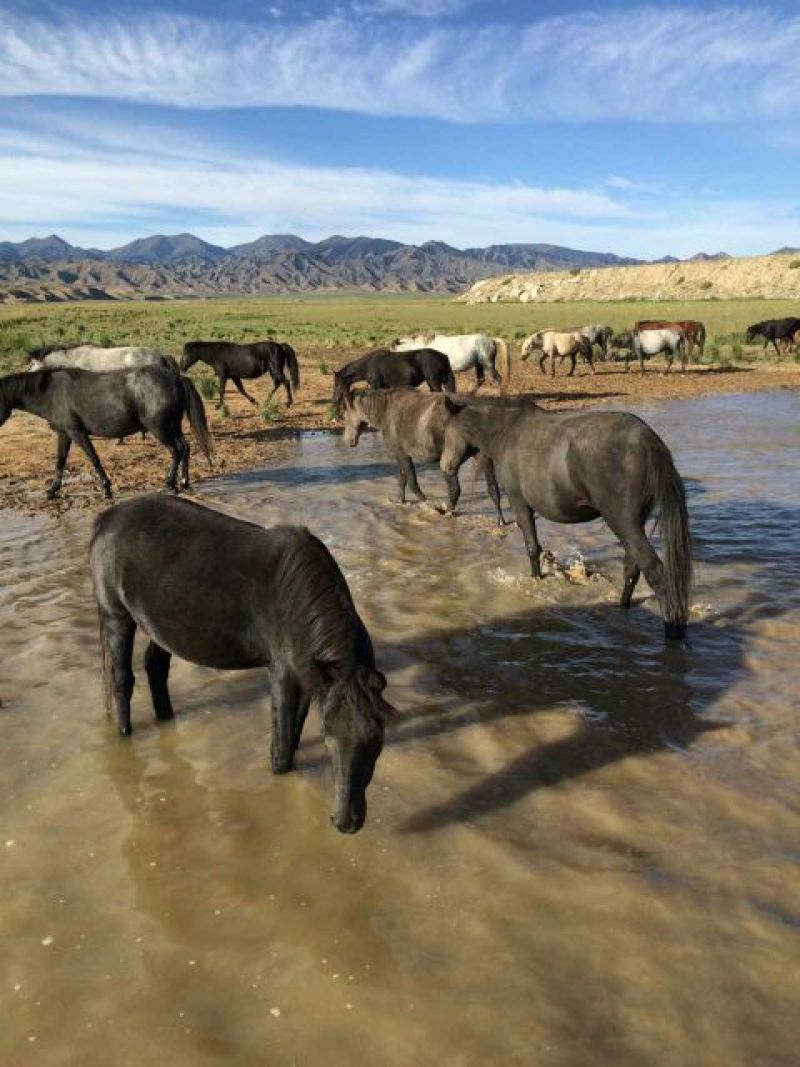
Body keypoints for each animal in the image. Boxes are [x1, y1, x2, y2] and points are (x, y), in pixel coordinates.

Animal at [0, 366, 212, 499]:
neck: (51, 393)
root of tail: (176, 378)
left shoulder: (77, 432)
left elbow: (93, 458)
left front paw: (106, 488)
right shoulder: (64, 434)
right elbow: (60, 461)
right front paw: (52, 490)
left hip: (160, 428)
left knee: (176, 451)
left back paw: (169, 483)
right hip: (172, 427)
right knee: (185, 448)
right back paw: (183, 482)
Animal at [90, 494, 393, 833]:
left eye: (376, 737)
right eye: (327, 734)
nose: (346, 822)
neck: (296, 597)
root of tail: (108, 517)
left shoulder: (308, 676)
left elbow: (295, 735)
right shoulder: (283, 673)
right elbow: (282, 748)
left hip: (161, 626)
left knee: (155, 667)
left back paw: (166, 720)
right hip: (116, 616)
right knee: (122, 680)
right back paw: (125, 735)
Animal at [341, 389, 506, 524]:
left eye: (344, 415)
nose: (349, 441)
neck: (386, 412)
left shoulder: (401, 454)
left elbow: (412, 483)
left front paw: (429, 505)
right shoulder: (402, 455)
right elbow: (402, 480)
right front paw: (400, 502)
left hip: (450, 461)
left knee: (455, 489)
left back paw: (448, 513)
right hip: (483, 458)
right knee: (493, 489)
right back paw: (501, 521)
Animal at [439, 397, 692, 643]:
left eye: (448, 431)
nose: (445, 466)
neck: (507, 431)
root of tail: (647, 440)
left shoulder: (520, 503)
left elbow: (532, 547)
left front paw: (536, 580)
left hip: (622, 520)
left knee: (654, 572)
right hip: (635, 522)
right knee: (632, 568)